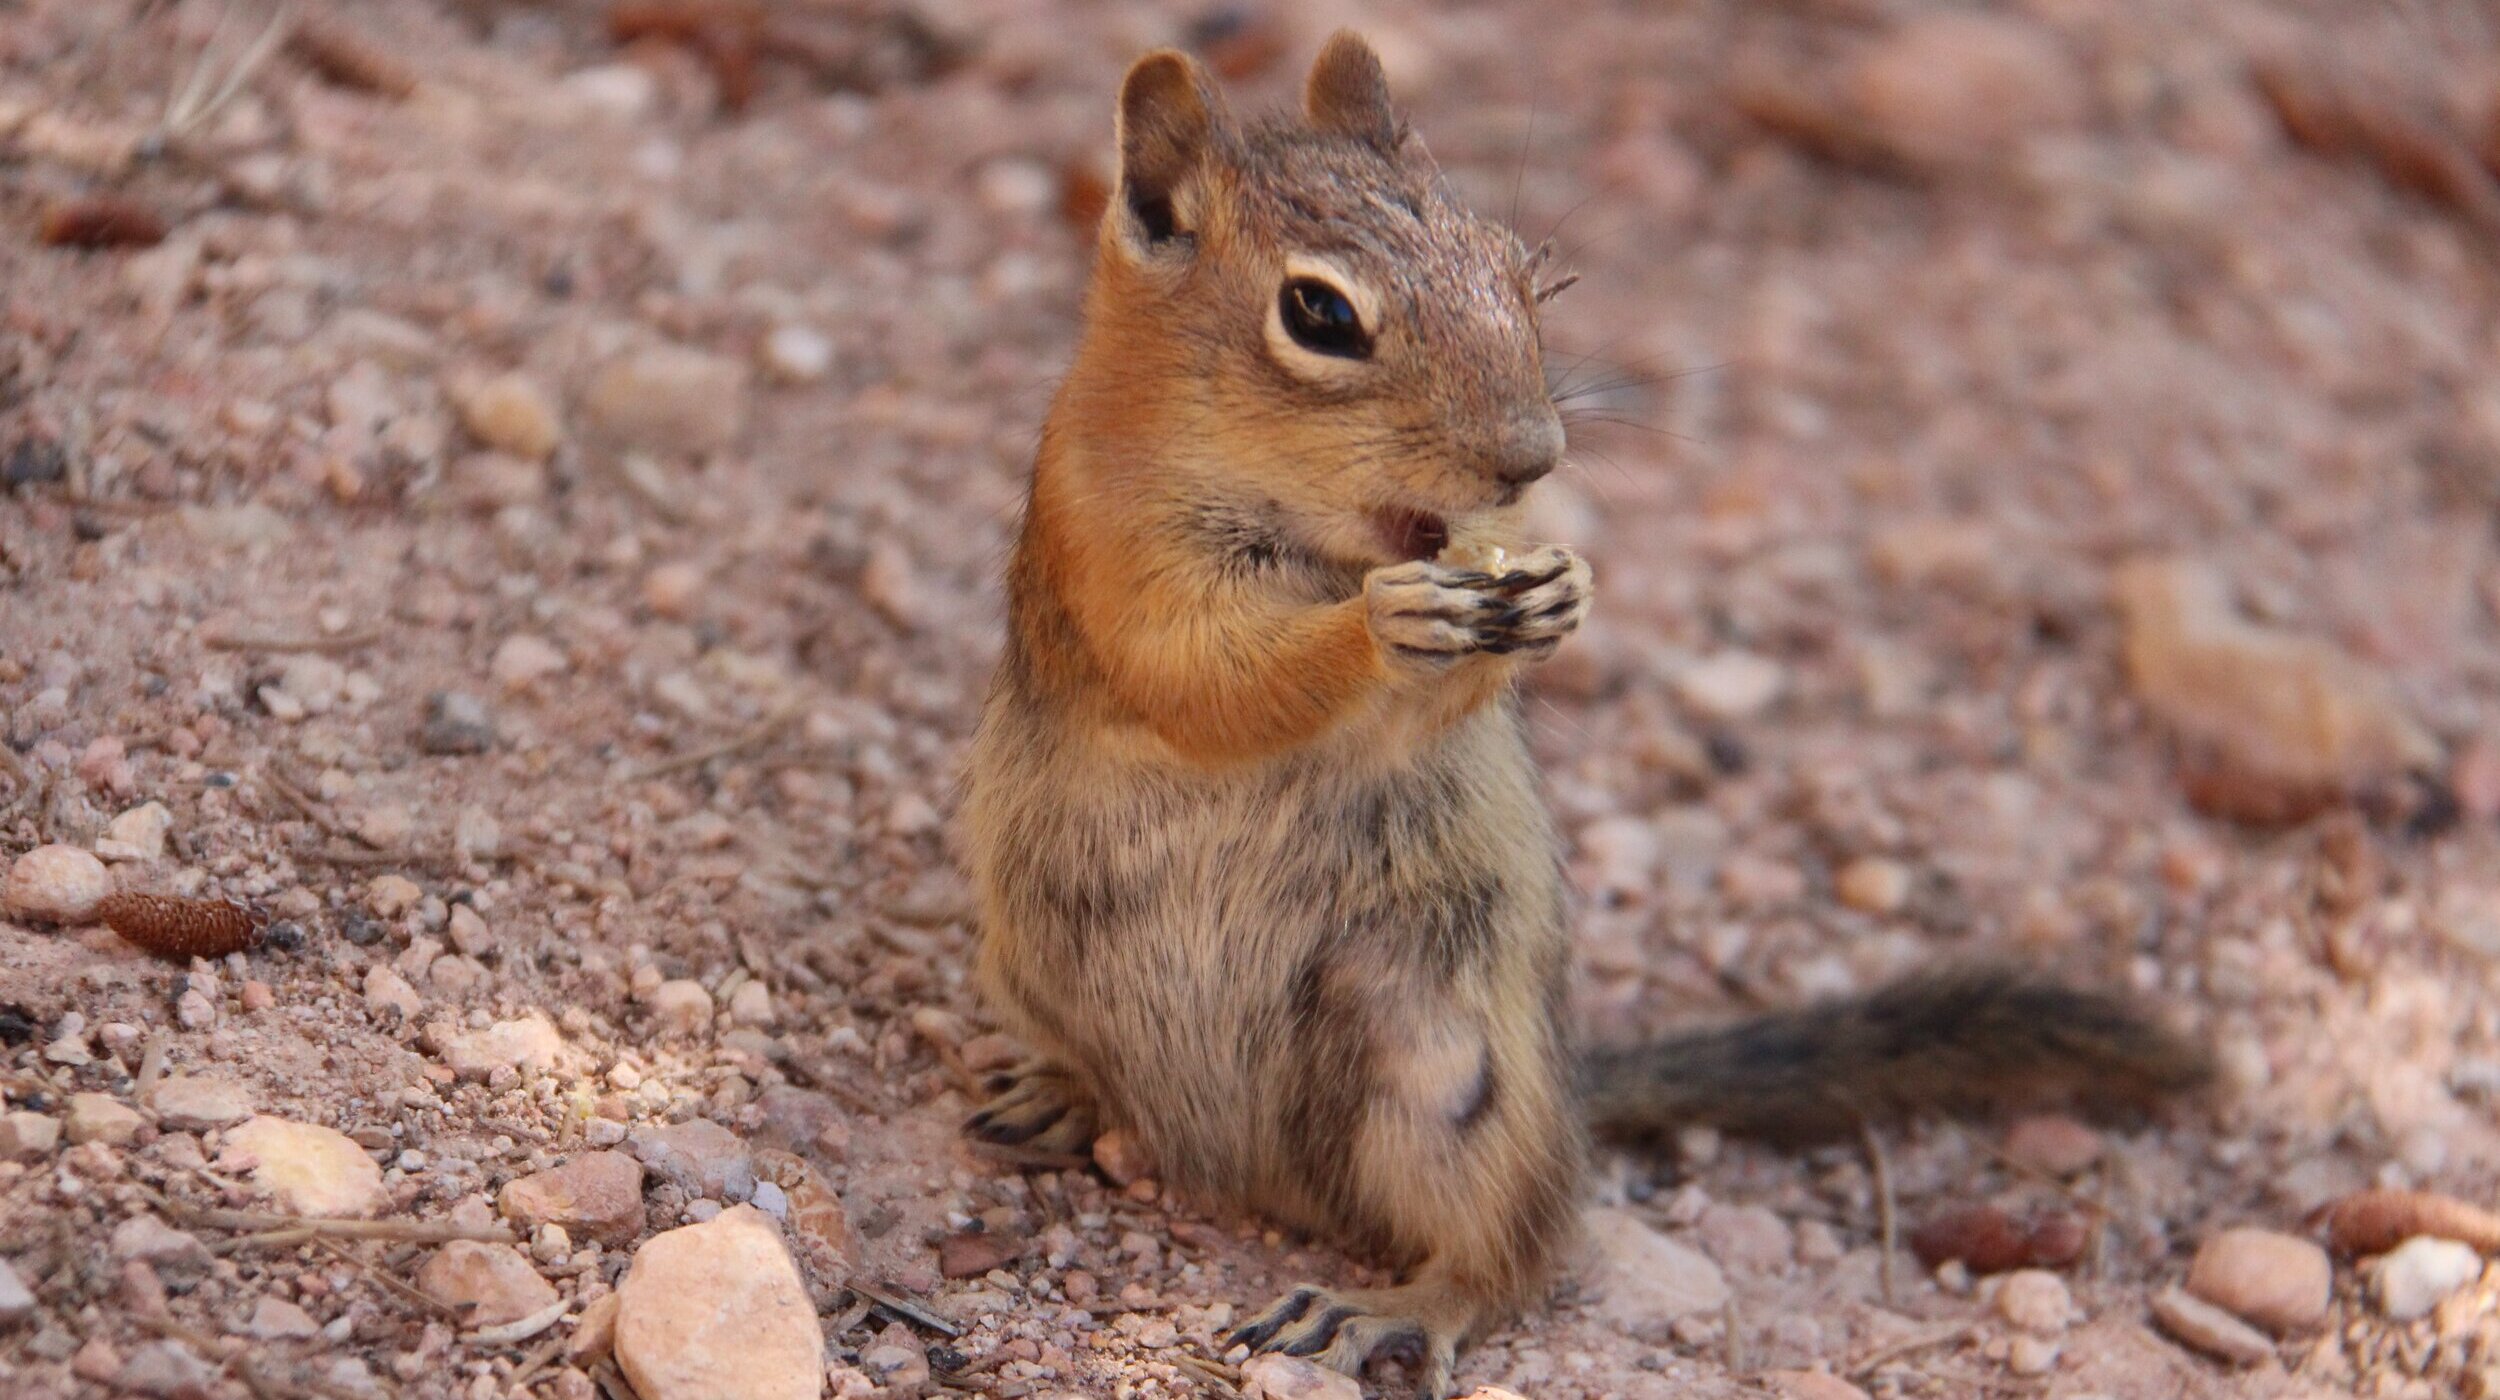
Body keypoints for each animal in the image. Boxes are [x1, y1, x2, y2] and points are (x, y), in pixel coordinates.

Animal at [955, 30, 2210, 1390]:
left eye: (1522, 269)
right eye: (1318, 314)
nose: (1533, 458)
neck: (1328, 536)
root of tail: (1236, 1170)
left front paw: (1559, 589)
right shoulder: (1108, 544)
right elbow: (1205, 670)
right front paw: (1381, 626)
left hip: (1449, 1073)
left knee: (1515, 1251)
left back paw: (1392, 1302)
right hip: (1034, 963)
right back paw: (1069, 1094)